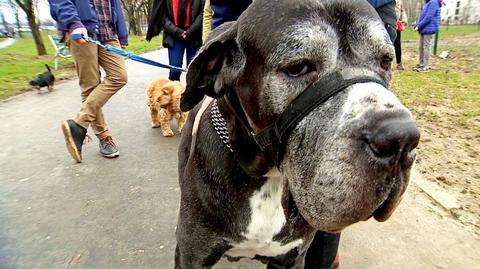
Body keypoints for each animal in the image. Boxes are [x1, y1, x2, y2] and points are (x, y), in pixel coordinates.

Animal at [176, 0, 420, 266]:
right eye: (298, 67)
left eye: (386, 61)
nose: (402, 139)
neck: (271, 178)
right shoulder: (191, 255)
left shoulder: (293, 257)